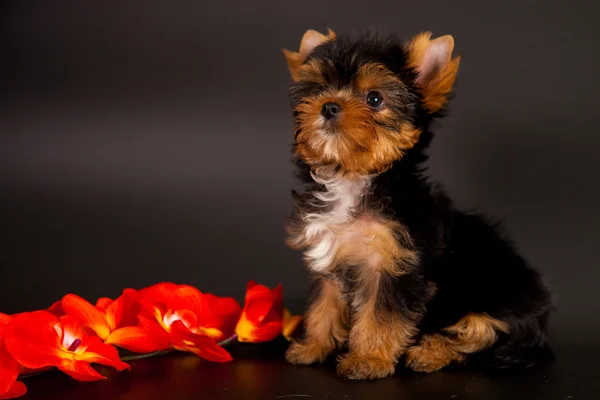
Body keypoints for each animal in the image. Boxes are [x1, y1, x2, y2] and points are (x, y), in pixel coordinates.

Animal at [282, 29, 552, 380]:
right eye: (317, 89)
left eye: (375, 99)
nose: (328, 106)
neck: (354, 179)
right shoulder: (329, 254)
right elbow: (323, 305)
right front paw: (312, 346)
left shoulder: (396, 265)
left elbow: (382, 314)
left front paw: (368, 359)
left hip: (500, 302)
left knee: (479, 334)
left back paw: (429, 353)